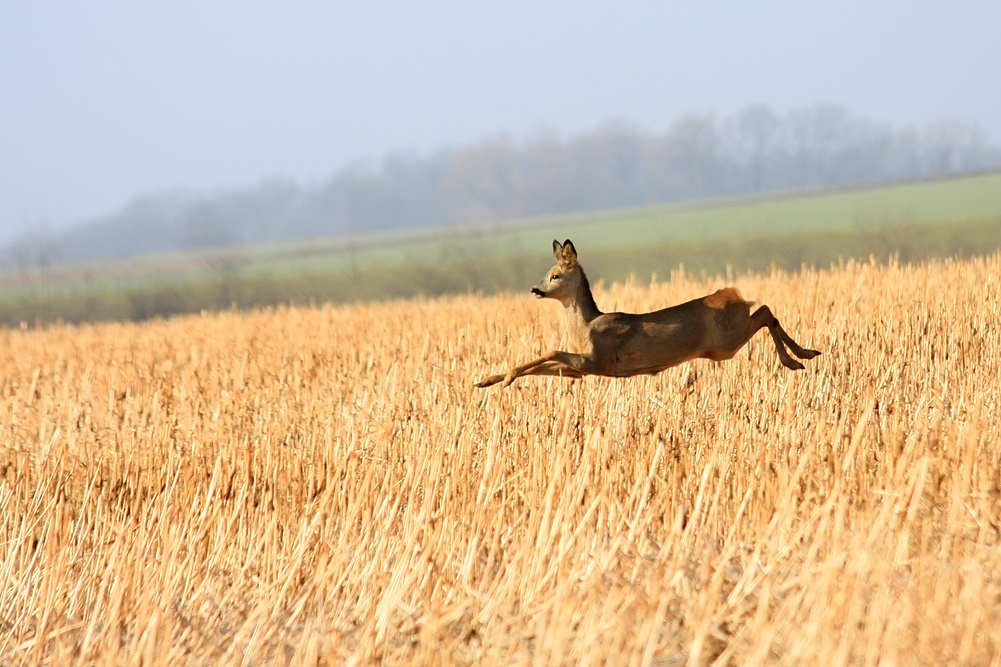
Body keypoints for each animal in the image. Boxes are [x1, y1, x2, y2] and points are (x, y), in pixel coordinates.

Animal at [472, 239, 816, 386]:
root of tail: (734, 296)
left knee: (765, 311)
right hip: (727, 340)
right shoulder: (583, 368)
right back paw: (806, 354)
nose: (535, 289)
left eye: (555, 275)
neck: (586, 328)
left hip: (726, 341)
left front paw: (504, 378)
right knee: (766, 311)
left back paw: (798, 358)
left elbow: (550, 351)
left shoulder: (598, 359)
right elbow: (548, 365)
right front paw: (487, 380)